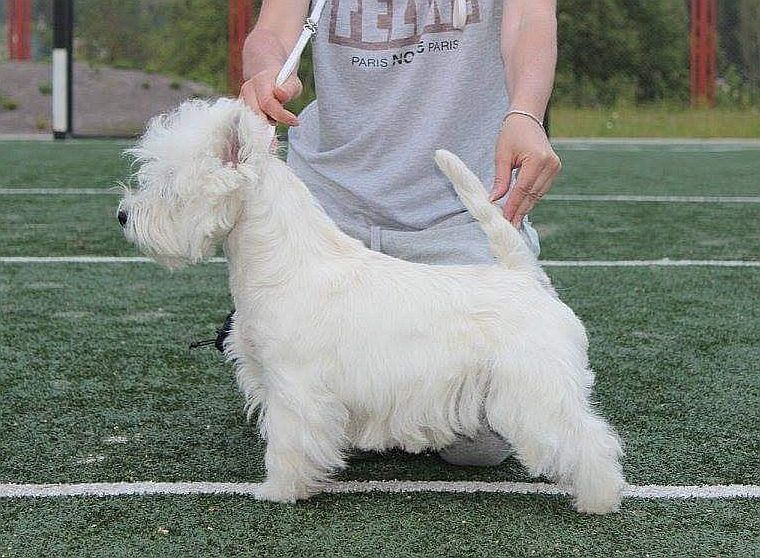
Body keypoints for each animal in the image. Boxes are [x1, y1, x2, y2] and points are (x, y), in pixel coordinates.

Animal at [120, 98, 624, 516]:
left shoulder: (294, 385)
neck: (286, 262)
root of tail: (526, 278)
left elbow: (288, 440)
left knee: (590, 439)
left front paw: (279, 489)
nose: (123, 216)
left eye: (169, 185)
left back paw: (599, 499)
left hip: (534, 389)